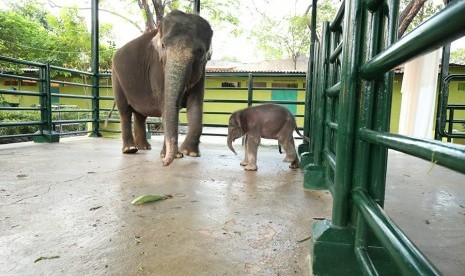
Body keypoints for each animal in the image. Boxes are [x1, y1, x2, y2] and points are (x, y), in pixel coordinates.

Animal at [111, 10, 213, 166]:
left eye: (200, 51)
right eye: (164, 46)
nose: (164, 163)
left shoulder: (202, 73)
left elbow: (195, 104)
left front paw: (190, 153)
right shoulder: (157, 67)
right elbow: (165, 104)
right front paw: (175, 155)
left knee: (140, 115)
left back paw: (144, 147)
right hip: (116, 78)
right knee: (125, 111)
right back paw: (130, 150)